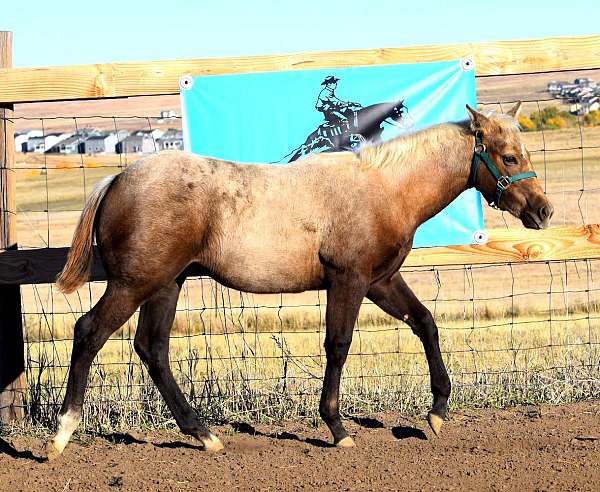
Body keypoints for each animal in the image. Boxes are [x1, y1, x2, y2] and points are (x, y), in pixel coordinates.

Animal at [45, 102, 552, 460]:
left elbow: (425, 323)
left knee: (153, 350)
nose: (543, 211)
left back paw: (205, 435)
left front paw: (437, 413)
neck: (384, 189)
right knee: (89, 332)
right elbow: (339, 345)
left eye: (526, 152)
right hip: (134, 284)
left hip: (166, 285)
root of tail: (117, 179)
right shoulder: (349, 280)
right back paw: (62, 434)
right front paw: (337, 428)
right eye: (509, 156)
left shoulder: (381, 281)